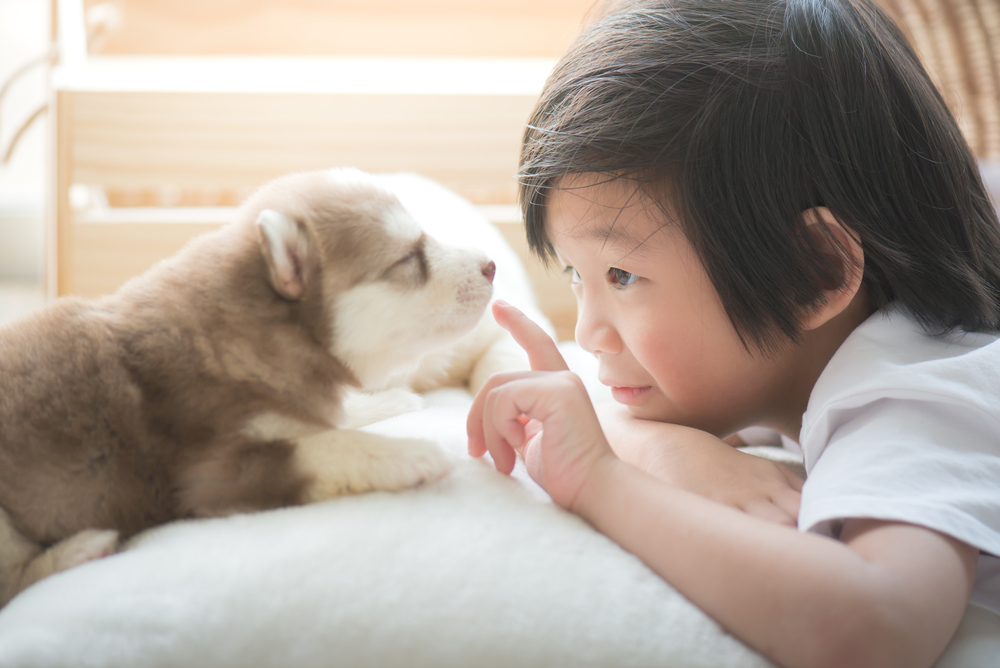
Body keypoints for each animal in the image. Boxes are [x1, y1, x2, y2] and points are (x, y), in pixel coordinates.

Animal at [0, 167, 496, 604]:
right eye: (408, 258)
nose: (492, 264)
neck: (250, 330)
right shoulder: (211, 474)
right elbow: (327, 444)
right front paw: (410, 452)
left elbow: (331, 419)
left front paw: (387, 400)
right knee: (14, 583)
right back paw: (78, 551)